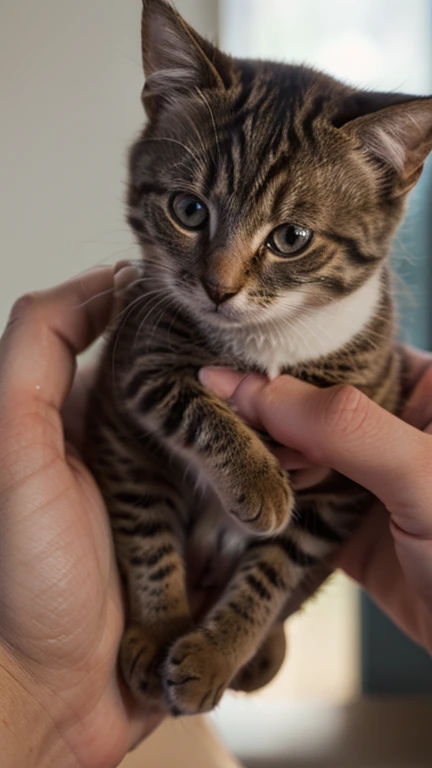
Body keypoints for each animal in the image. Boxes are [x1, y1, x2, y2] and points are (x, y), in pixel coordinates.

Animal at [85, 0, 432, 720]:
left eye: (290, 237)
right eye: (189, 209)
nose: (217, 289)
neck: (270, 338)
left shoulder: (342, 481)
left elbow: (280, 570)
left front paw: (221, 650)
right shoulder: (136, 356)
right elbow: (183, 399)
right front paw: (259, 479)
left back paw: (258, 651)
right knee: (144, 514)